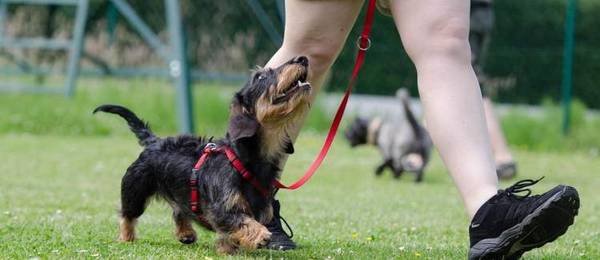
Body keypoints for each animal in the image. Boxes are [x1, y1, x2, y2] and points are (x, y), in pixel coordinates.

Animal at [92, 55, 314, 254]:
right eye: (260, 77)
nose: (302, 58)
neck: (245, 159)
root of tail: (154, 141)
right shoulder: (222, 209)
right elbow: (242, 222)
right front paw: (259, 235)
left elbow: (232, 231)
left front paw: (227, 248)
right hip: (135, 190)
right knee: (127, 215)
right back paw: (126, 237)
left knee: (179, 210)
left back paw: (186, 233)